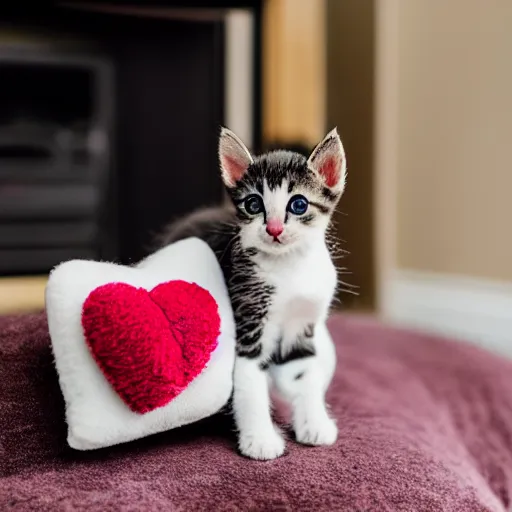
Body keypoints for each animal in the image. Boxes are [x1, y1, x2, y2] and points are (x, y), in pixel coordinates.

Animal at [158, 127, 346, 460]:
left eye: (298, 204)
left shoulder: (303, 324)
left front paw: (314, 422)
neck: (289, 268)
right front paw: (259, 439)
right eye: (254, 204)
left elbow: (305, 374)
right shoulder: (248, 314)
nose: (273, 229)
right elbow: (250, 379)